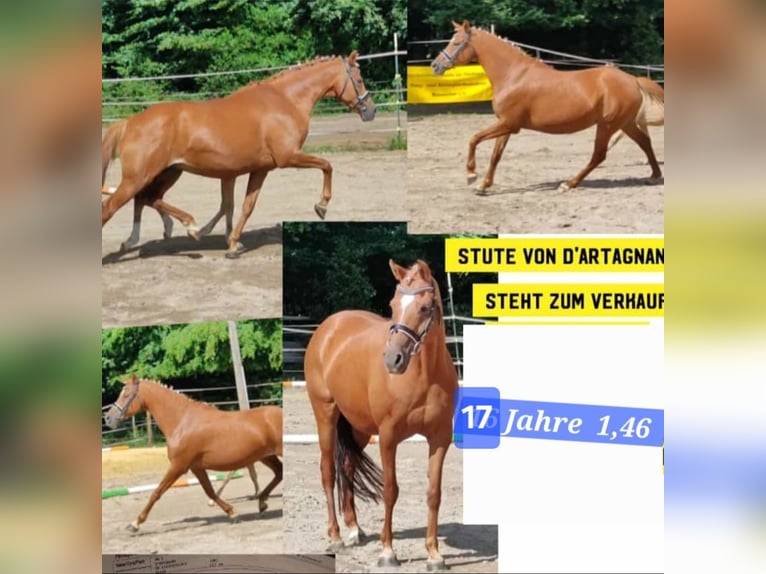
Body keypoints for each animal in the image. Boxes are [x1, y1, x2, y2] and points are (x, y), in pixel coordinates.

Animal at [101, 50, 376, 258]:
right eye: (360, 79)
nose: (370, 111)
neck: (285, 101)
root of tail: (128, 123)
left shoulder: (260, 169)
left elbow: (244, 206)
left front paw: (233, 245)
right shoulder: (288, 157)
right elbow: (327, 165)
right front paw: (321, 206)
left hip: (168, 172)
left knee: (148, 198)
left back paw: (186, 227)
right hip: (139, 177)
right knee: (114, 206)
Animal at [103, 374, 283, 532]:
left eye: (126, 394)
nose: (108, 418)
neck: (182, 421)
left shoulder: (178, 466)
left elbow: (156, 492)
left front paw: (135, 524)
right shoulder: (196, 467)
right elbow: (210, 491)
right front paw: (232, 514)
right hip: (265, 456)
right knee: (279, 473)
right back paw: (262, 502)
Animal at [304, 259, 458, 570]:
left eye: (425, 307)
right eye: (393, 305)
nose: (392, 360)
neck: (424, 375)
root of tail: (328, 327)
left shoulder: (440, 439)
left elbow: (433, 494)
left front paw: (434, 555)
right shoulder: (388, 437)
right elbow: (390, 490)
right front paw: (388, 552)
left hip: (358, 427)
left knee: (347, 466)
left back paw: (354, 529)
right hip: (326, 415)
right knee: (328, 471)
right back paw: (336, 536)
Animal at [430, 21, 663, 194]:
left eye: (456, 42)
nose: (435, 65)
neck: (513, 75)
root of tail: (632, 79)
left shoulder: (509, 124)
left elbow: (474, 139)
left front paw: (471, 175)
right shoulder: (505, 125)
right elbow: (496, 155)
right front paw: (483, 185)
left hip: (607, 125)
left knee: (599, 155)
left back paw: (568, 184)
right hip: (625, 123)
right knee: (644, 142)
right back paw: (654, 176)